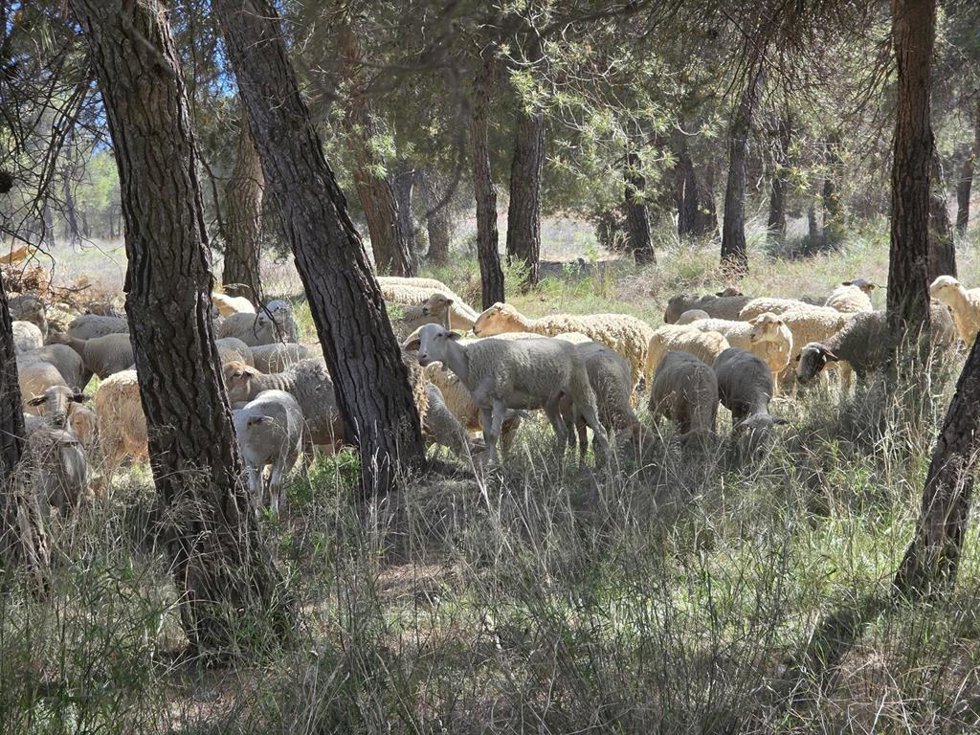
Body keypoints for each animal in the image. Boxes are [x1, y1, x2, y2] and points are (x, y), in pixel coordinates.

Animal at [415, 324, 608, 465]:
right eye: (419, 339)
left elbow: (494, 435)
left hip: (579, 387)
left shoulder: (499, 399)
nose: (421, 357)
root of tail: (569, 344)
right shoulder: (484, 404)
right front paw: (492, 464)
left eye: (440, 335)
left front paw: (494, 464)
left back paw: (607, 465)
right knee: (561, 432)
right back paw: (557, 464)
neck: (469, 363)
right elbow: (487, 436)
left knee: (600, 429)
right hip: (551, 401)